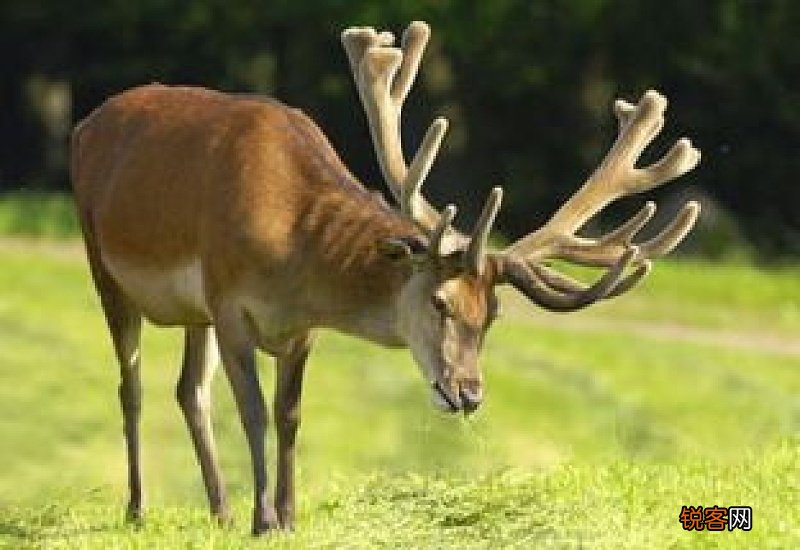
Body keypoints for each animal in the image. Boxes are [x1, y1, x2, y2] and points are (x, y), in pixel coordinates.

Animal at [69, 21, 700, 534]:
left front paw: (288, 518)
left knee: (188, 389)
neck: (290, 246)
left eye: (492, 315)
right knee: (132, 386)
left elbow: (289, 414)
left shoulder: (300, 326)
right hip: (104, 263)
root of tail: (86, 123)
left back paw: (219, 511)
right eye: (441, 302)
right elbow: (252, 410)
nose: (468, 393)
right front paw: (263, 518)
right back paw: (138, 508)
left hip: (191, 311)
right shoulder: (228, 300)